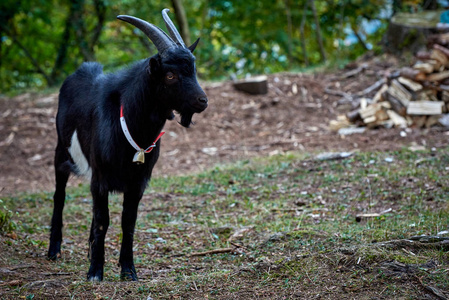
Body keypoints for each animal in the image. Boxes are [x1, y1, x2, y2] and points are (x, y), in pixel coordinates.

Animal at [46, 8, 207, 282]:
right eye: (170, 75)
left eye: (193, 70)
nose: (202, 100)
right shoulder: (100, 177)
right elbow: (103, 220)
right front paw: (95, 273)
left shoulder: (138, 182)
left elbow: (127, 222)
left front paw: (128, 271)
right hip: (61, 150)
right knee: (60, 195)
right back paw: (53, 250)